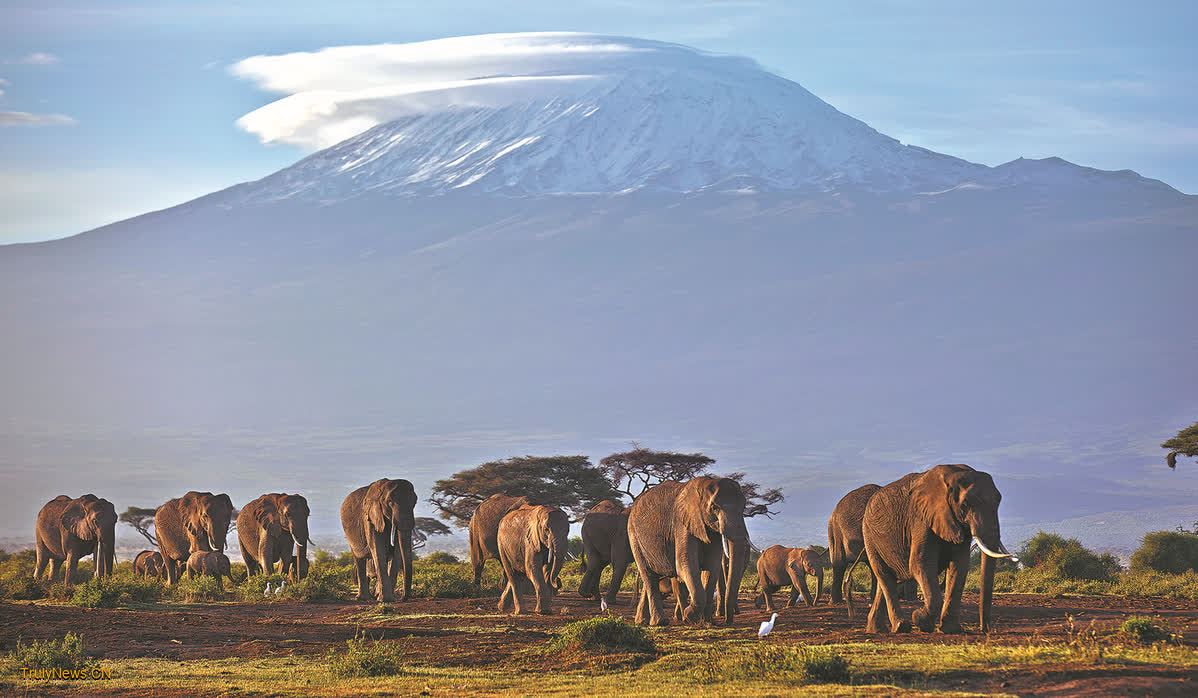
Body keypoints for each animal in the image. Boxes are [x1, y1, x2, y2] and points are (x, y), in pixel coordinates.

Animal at [627, 474, 747, 627]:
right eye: (714, 507)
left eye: (744, 506)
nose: (728, 621)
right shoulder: (682, 523)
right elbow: (685, 564)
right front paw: (689, 616)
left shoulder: (711, 530)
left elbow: (712, 567)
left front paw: (707, 622)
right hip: (634, 537)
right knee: (648, 576)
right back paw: (660, 622)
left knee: (651, 577)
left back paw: (641, 621)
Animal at [848, 466, 1015, 636]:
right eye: (966, 504)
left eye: (998, 502)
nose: (985, 630)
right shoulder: (920, 519)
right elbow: (920, 563)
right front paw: (919, 620)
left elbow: (959, 566)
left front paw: (950, 630)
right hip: (870, 537)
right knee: (884, 576)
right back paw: (901, 627)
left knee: (888, 581)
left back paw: (876, 630)